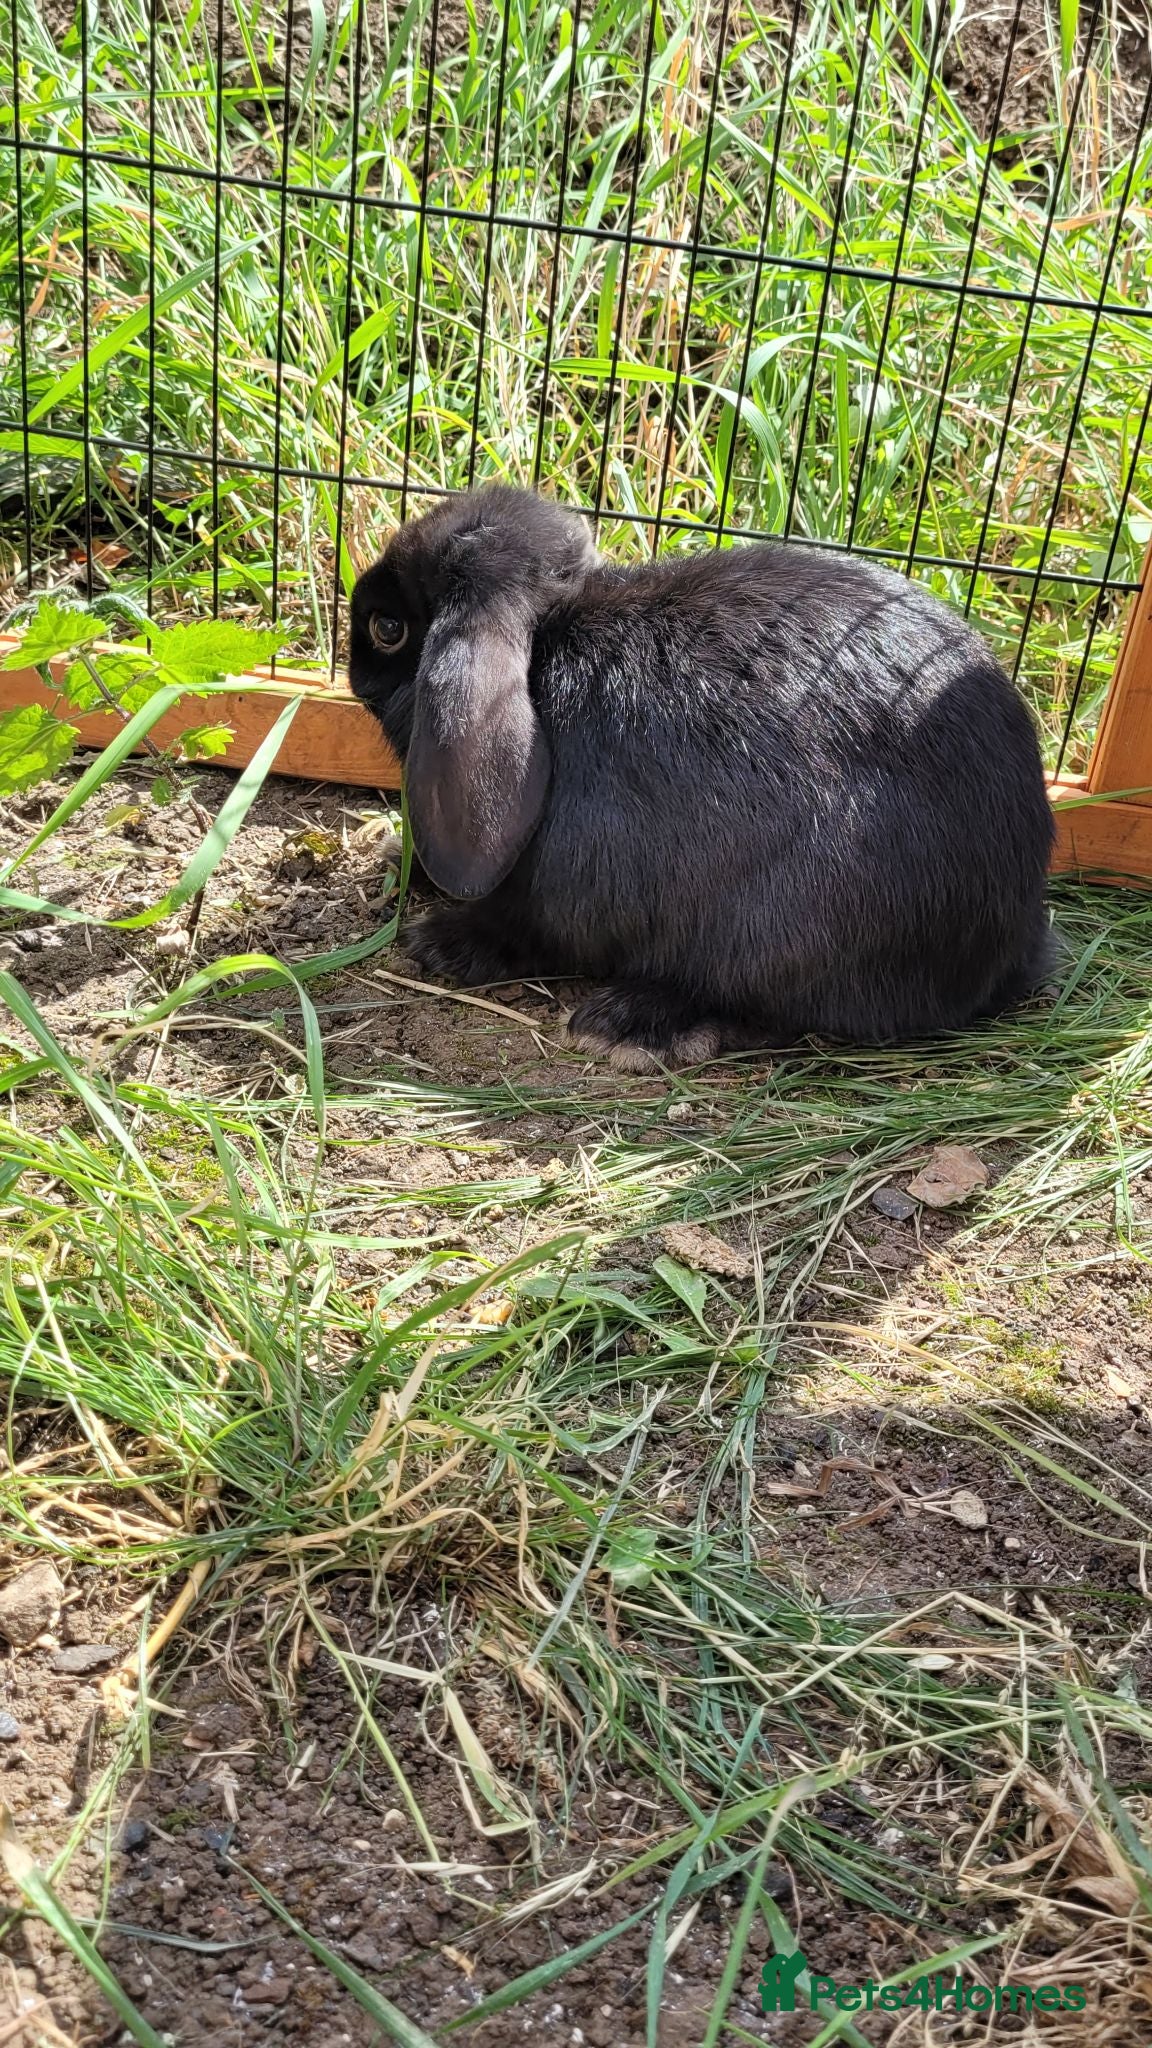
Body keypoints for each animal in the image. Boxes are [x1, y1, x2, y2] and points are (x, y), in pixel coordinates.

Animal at [348, 485, 1055, 1072]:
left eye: (388, 628)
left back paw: (633, 1025)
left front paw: (441, 943)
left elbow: (526, 931)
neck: (547, 646)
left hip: (791, 931)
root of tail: (1013, 941)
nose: (353, 672)